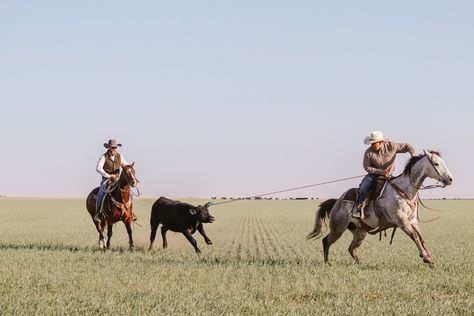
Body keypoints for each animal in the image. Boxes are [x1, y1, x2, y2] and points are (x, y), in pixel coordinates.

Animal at [310, 151, 454, 266]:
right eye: (436, 163)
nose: (450, 179)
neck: (403, 191)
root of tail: (337, 202)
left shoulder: (412, 221)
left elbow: (421, 238)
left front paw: (429, 259)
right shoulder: (402, 221)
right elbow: (414, 237)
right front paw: (426, 258)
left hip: (360, 232)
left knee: (351, 248)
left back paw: (359, 263)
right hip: (338, 228)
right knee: (326, 241)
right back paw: (327, 263)